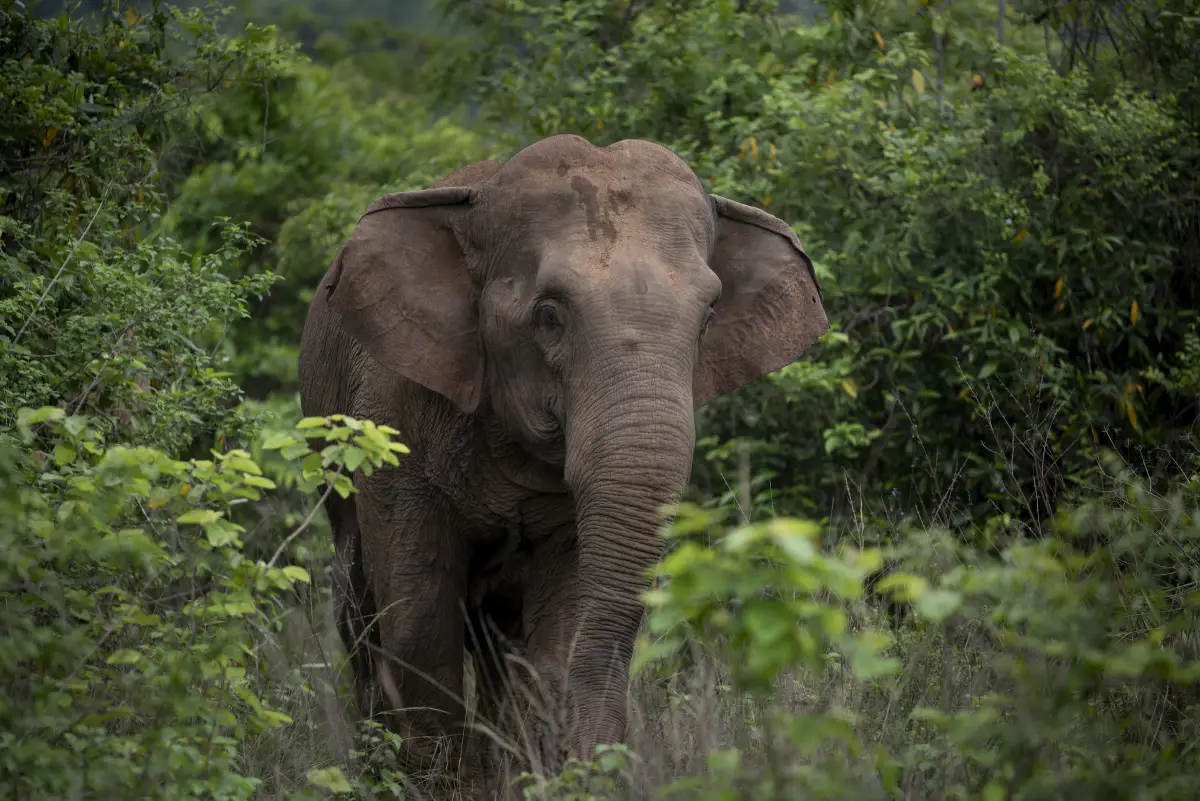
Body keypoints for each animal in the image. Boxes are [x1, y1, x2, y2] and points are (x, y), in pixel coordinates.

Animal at [297, 134, 828, 784]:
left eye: (709, 316)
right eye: (549, 313)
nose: (600, 757)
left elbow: (564, 612)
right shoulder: (394, 415)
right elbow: (419, 612)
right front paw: (433, 783)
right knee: (358, 605)